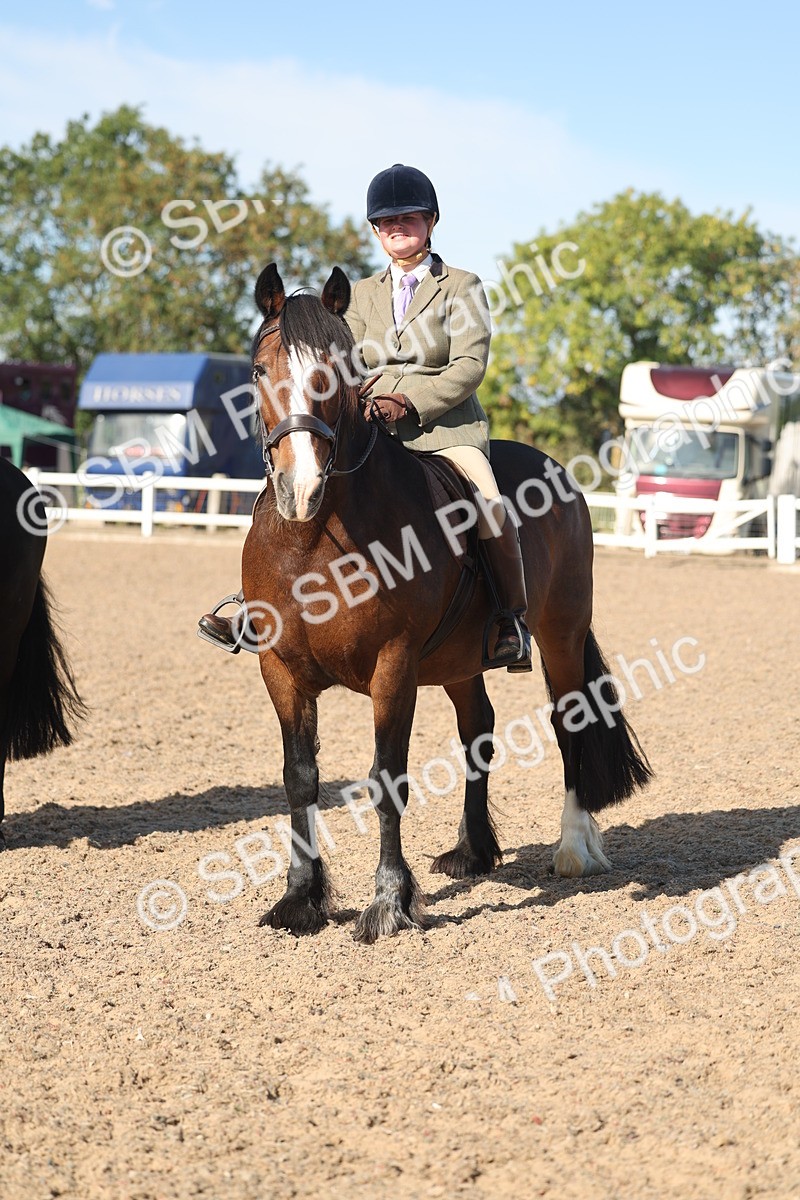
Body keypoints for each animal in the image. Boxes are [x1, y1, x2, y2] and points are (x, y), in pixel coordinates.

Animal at [241, 263, 651, 943]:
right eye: (257, 370)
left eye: (339, 371)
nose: (300, 488)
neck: (313, 538)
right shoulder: (280, 670)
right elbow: (300, 780)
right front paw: (300, 899)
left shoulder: (394, 666)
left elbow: (386, 779)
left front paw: (388, 904)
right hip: (461, 661)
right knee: (476, 729)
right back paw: (474, 851)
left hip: (561, 635)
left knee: (569, 724)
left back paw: (574, 849)